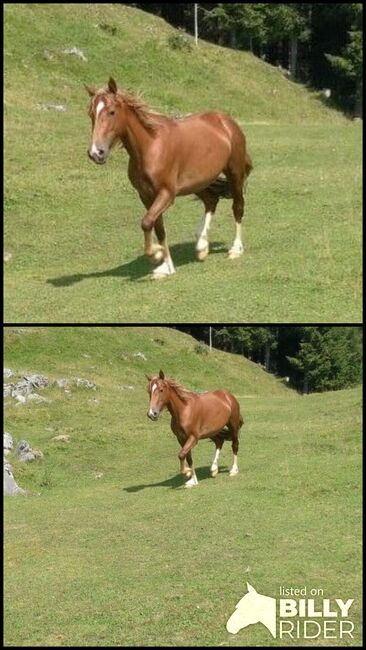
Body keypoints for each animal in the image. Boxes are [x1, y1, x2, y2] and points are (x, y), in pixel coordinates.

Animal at [85, 77, 252, 278]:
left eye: (112, 112)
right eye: (91, 113)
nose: (96, 153)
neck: (151, 146)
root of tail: (226, 121)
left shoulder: (166, 194)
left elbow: (146, 223)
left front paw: (156, 254)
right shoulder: (146, 195)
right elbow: (158, 227)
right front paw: (166, 266)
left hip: (235, 173)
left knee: (237, 207)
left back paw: (235, 249)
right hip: (198, 182)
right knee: (211, 201)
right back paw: (202, 246)